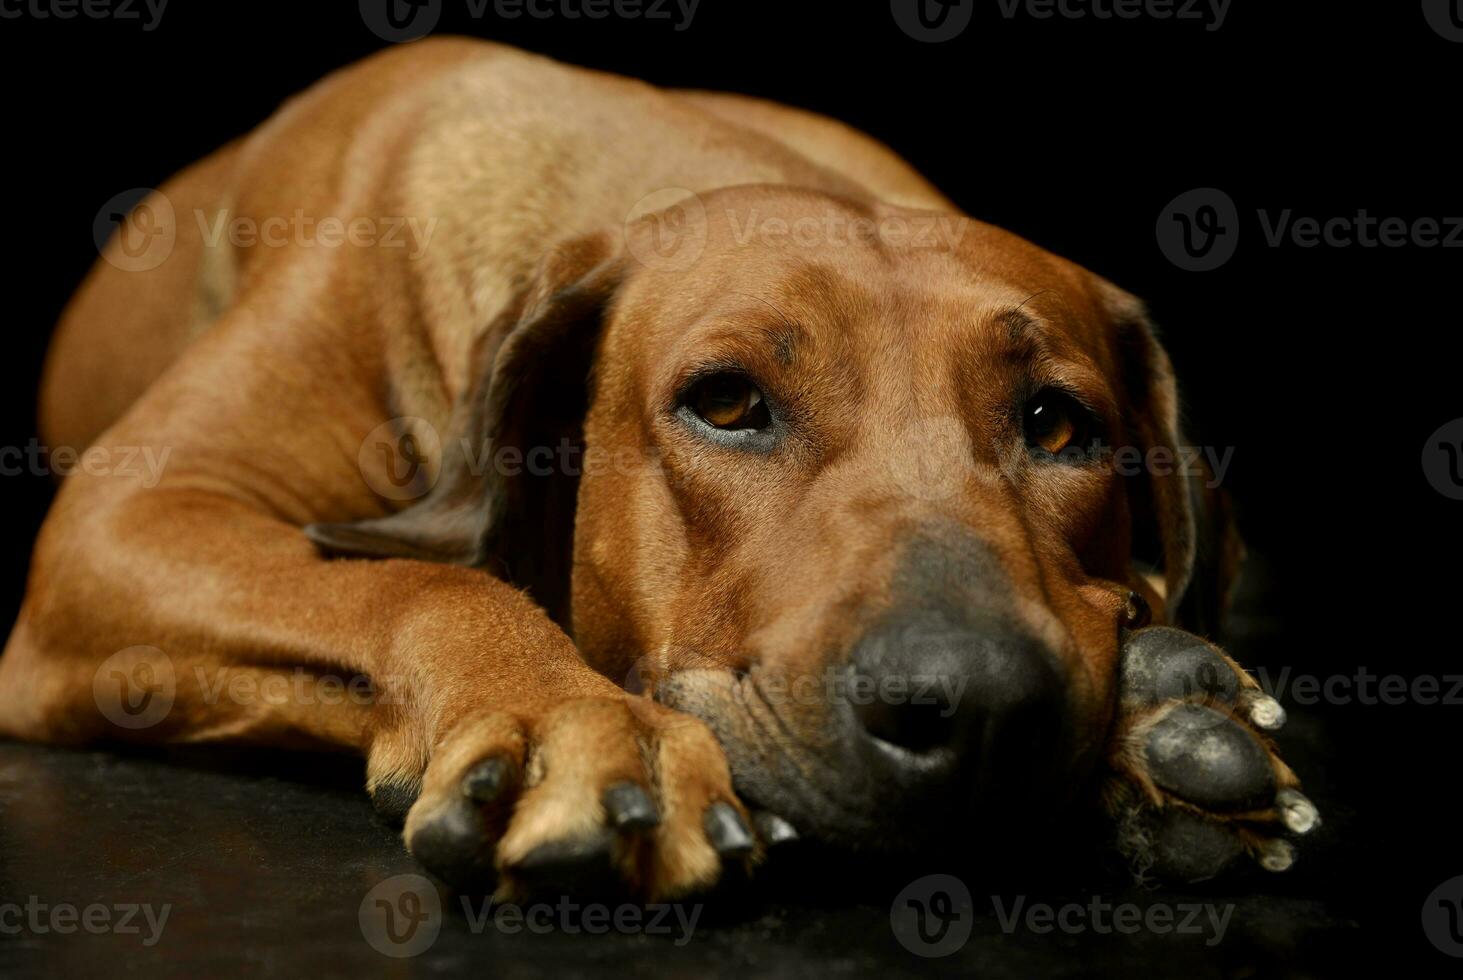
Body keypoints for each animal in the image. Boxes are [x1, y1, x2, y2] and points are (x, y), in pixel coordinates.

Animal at [0, 38, 1322, 901]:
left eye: (1056, 424)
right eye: (725, 402)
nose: (983, 706)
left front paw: (1149, 718)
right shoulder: (131, 516)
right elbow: (417, 579)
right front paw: (568, 718)